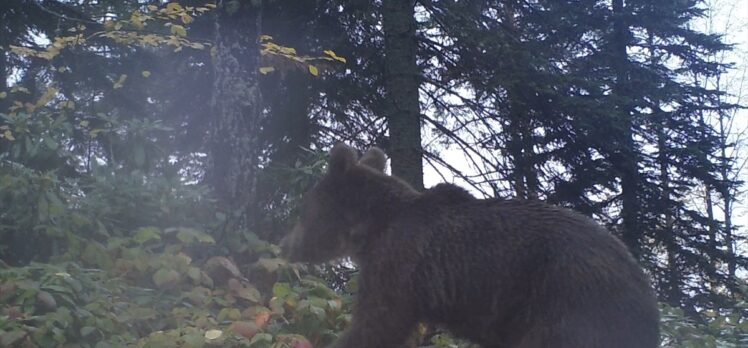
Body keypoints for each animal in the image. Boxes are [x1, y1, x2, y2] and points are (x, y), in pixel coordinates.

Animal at [280, 143, 660, 346]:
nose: (286, 245)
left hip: (571, 301)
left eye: (303, 209)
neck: (371, 229)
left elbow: (376, 324)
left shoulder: (399, 265)